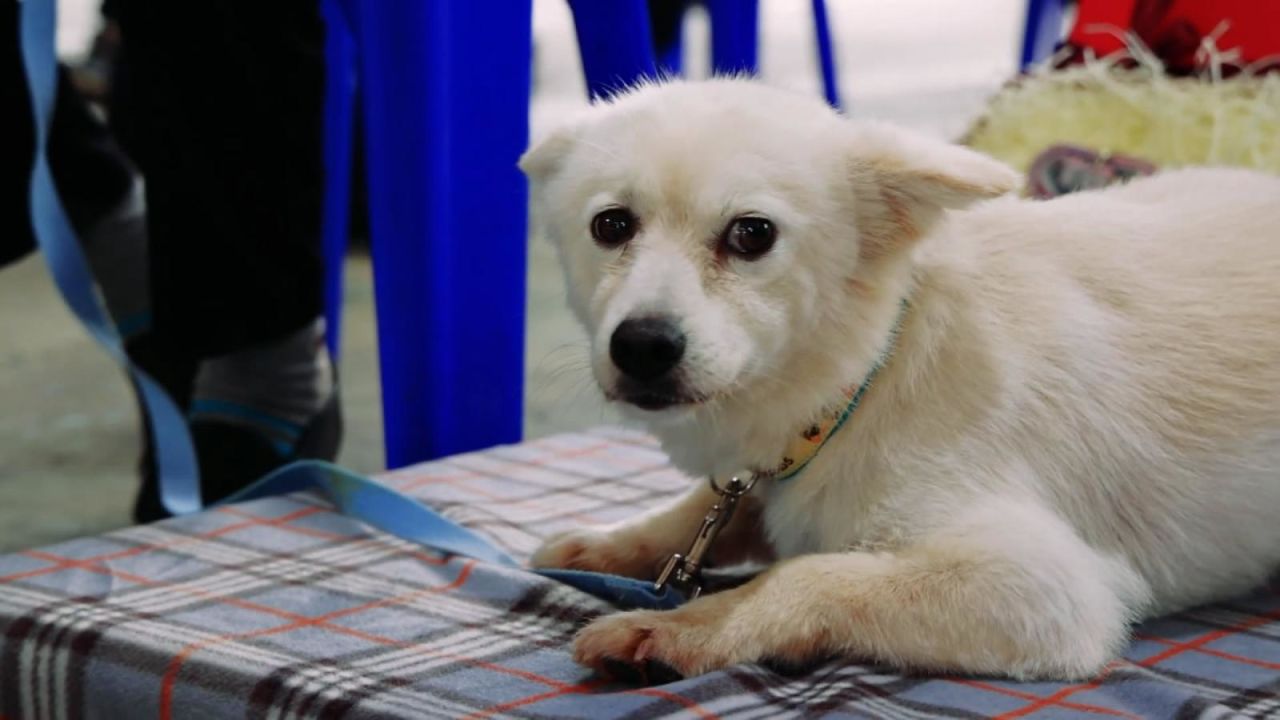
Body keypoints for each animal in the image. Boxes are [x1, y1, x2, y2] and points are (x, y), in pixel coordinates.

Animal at [517, 77, 1280, 676]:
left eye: (752, 234)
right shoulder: (759, 483)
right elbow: (709, 511)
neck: (871, 372)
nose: (642, 346)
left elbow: (804, 573)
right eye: (612, 226)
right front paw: (612, 543)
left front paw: (685, 627)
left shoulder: (1042, 590)